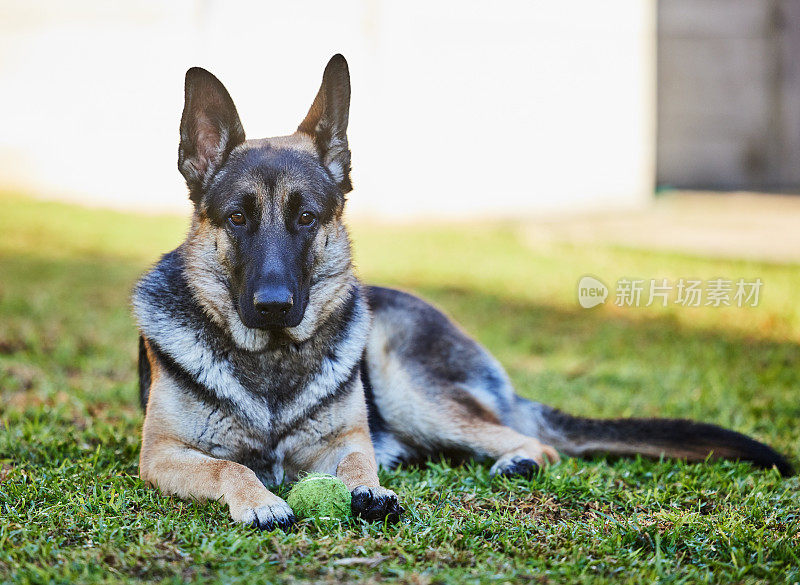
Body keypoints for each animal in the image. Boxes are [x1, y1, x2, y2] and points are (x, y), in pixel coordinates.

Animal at [134, 53, 792, 528]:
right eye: (238, 218)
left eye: (305, 217)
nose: (273, 305)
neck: (271, 363)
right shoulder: (160, 456)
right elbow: (229, 470)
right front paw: (261, 498)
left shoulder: (346, 441)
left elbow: (357, 459)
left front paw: (368, 490)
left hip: (409, 388)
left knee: (535, 442)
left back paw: (517, 458)